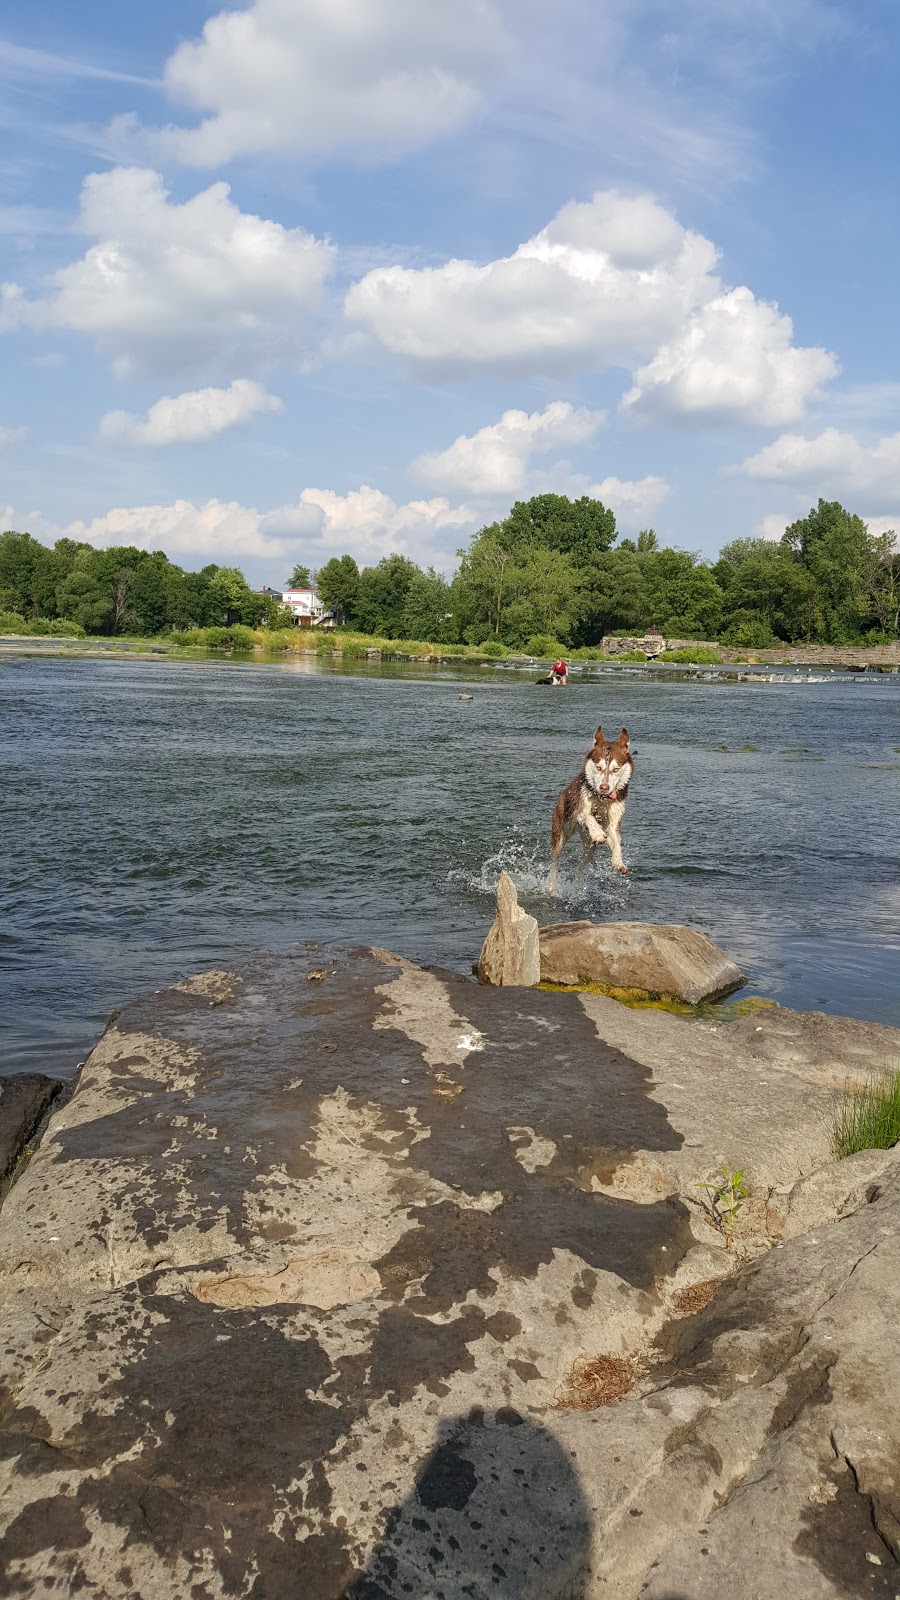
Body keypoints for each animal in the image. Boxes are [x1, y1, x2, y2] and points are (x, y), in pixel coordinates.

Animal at [538, 723, 630, 896]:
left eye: (616, 769)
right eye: (599, 767)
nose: (604, 787)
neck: (601, 800)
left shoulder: (614, 821)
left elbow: (616, 841)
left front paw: (618, 861)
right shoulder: (578, 808)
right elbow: (587, 815)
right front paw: (598, 832)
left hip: (588, 846)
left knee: (581, 866)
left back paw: (576, 888)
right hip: (560, 832)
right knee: (555, 862)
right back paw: (551, 887)